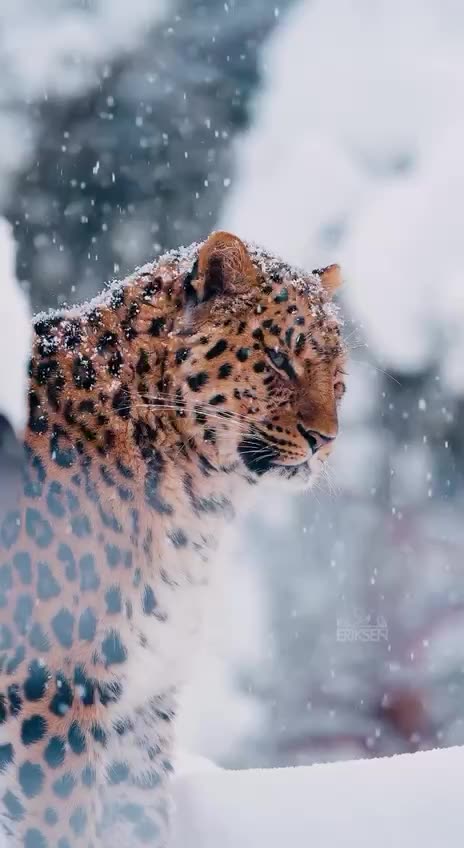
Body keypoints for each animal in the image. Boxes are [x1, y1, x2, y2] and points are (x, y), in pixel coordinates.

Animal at [0, 230, 346, 847]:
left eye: (338, 373)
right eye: (279, 359)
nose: (325, 438)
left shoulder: (144, 698)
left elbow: (139, 816)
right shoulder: (52, 685)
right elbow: (63, 825)